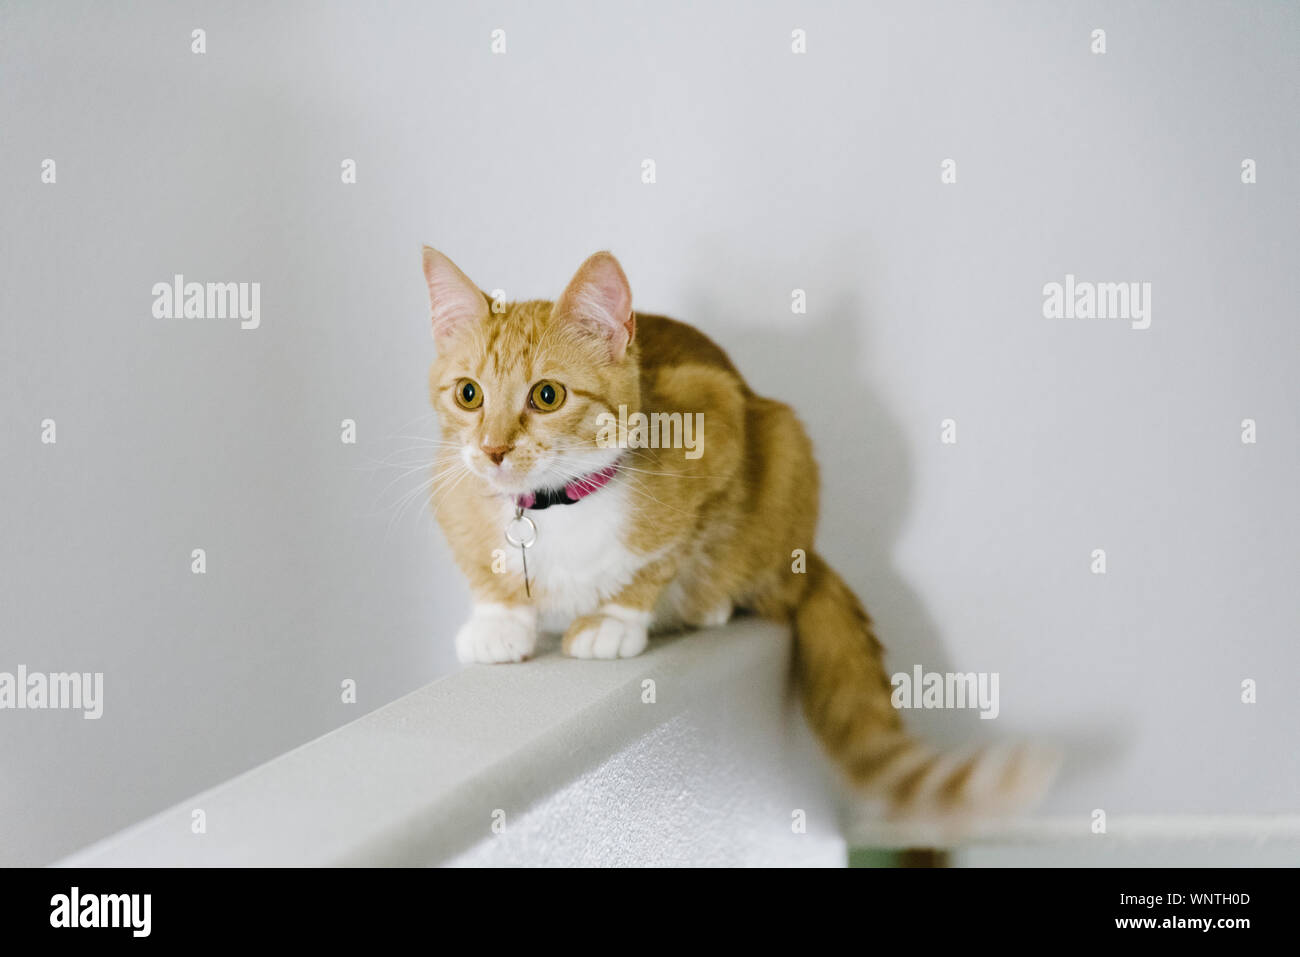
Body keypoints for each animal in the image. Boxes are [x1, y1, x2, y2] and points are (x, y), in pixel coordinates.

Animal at [423, 248, 1055, 821]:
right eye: (469, 394)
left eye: (547, 395)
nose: (493, 450)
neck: (553, 507)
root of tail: (811, 557)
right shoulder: (449, 489)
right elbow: (486, 572)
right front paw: (499, 622)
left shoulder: (717, 424)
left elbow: (666, 553)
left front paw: (613, 618)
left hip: (786, 448)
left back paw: (708, 605)